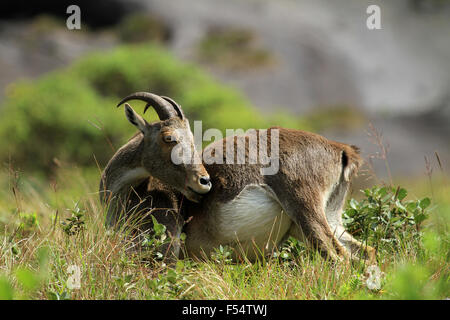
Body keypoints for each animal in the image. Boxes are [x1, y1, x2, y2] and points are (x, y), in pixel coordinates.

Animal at [101, 92, 376, 262]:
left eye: (190, 139)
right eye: (169, 137)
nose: (204, 181)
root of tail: (341, 149)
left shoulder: (168, 243)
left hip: (305, 208)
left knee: (338, 257)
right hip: (329, 217)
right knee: (366, 253)